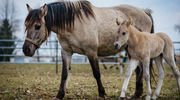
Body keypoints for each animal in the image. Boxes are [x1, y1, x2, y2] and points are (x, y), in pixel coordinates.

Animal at [22, 0, 154, 99]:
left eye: (37, 26)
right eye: (26, 25)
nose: (26, 49)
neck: (74, 24)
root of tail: (144, 12)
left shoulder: (91, 52)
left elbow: (96, 73)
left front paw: (102, 93)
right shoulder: (66, 52)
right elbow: (64, 74)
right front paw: (59, 95)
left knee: (140, 70)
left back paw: (137, 94)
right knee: (138, 70)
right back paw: (137, 94)